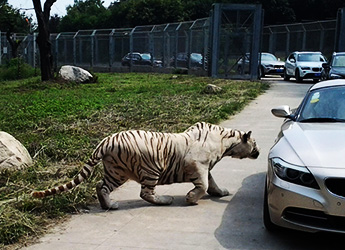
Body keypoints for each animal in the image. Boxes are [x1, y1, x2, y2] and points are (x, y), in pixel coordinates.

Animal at [33, 121, 258, 209]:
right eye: (254, 143)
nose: (258, 151)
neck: (226, 142)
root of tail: (105, 141)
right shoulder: (198, 165)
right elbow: (202, 185)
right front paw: (190, 199)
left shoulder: (206, 168)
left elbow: (212, 183)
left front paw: (221, 192)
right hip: (151, 168)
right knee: (146, 193)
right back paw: (165, 200)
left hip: (117, 172)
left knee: (101, 186)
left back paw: (109, 205)